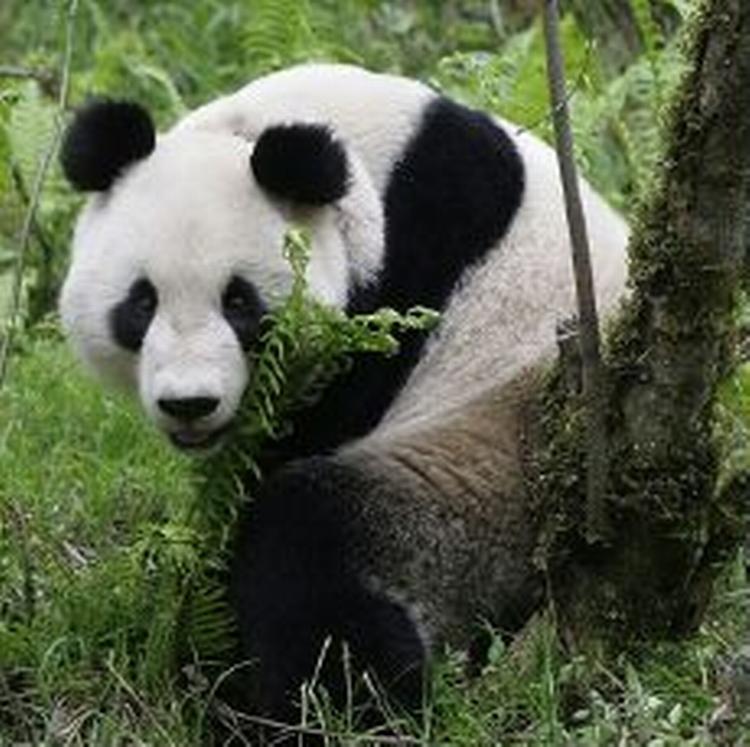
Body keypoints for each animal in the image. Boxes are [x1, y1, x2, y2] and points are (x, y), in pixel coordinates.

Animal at [59, 64, 628, 721]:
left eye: (240, 303)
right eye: (142, 303)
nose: (189, 404)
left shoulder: (406, 275)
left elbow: (303, 440)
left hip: (488, 490)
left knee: (310, 542)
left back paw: (352, 704)